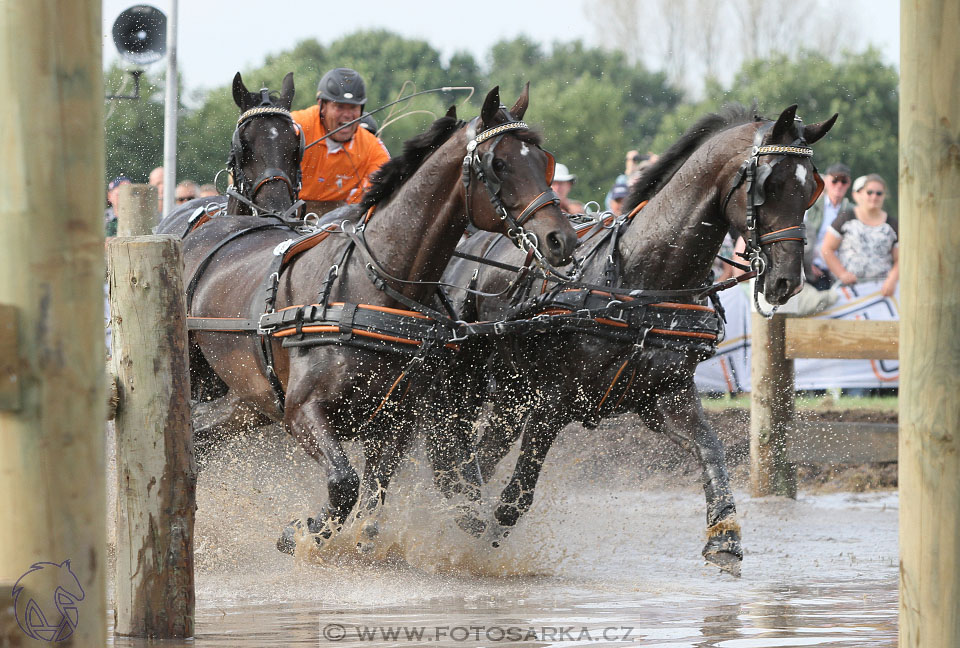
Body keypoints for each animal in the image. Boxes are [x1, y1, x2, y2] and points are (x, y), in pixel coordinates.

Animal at [432, 104, 836, 576]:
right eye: (769, 185)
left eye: (810, 189)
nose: (787, 280)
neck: (643, 281)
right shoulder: (553, 402)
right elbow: (517, 494)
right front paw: (480, 543)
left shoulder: (665, 394)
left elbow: (712, 450)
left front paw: (725, 536)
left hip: (512, 398)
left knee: (480, 455)